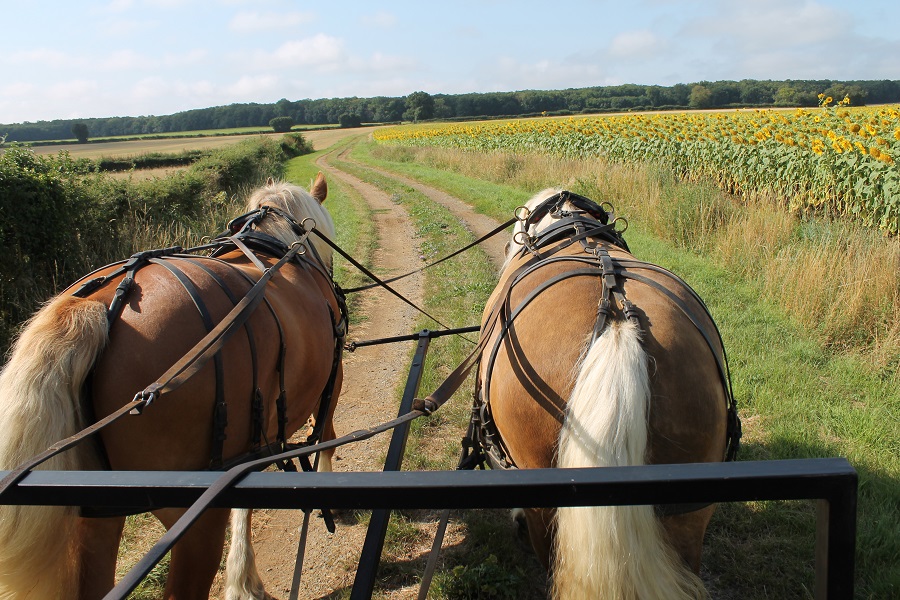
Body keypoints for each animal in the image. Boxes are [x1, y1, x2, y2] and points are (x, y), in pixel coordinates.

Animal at [0, 175, 346, 600]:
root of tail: (98, 309)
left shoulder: (248, 440)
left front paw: (244, 580)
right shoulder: (330, 379)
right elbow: (325, 435)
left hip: (95, 515)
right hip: (194, 521)